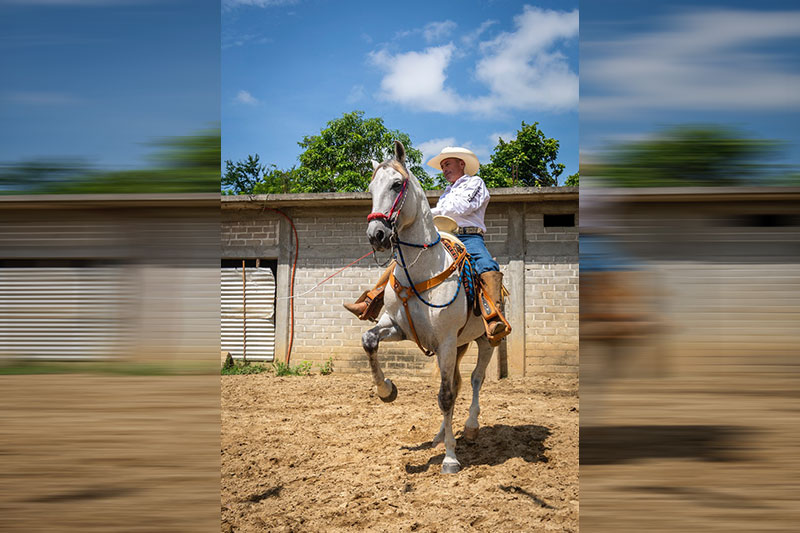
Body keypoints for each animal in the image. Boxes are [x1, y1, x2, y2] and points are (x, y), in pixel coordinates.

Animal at [362, 140, 495, 474]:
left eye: (397, 184)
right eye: (371, 188)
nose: (376, 235)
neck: (421, 271)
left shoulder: (445, 341)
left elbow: (445, 396)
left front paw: (450, 459)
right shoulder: (398, 328)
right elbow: (369, 340)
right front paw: (386, 390)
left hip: (485, 340)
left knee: (475, 379)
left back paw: (470, 428)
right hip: (460, 345)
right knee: (459, 383)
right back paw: (439, 436)